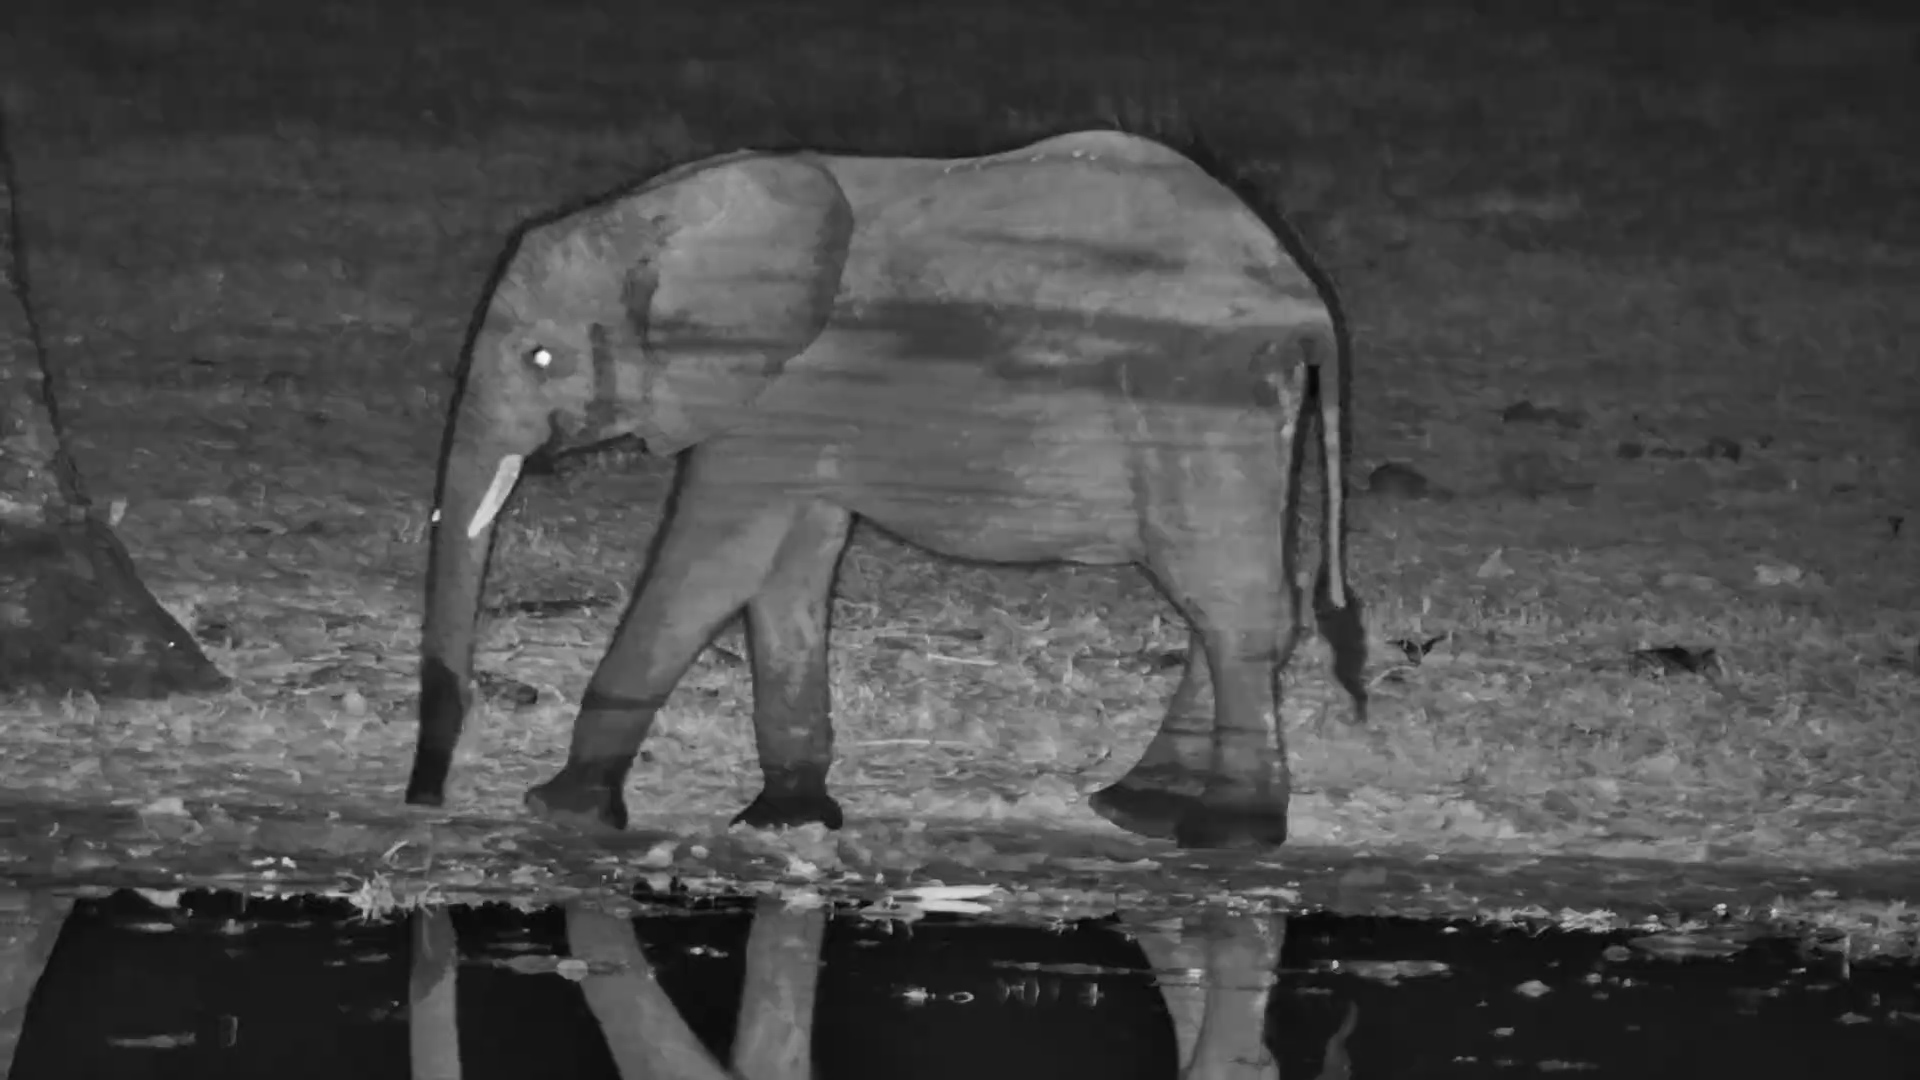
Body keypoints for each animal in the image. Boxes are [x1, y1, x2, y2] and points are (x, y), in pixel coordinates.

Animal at [404, 129, 1367, 850]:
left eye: (539, 357)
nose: (425, 800)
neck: (655, 214)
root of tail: (1305, 300)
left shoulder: (781, 390)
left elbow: (713, 560)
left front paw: (562, 809)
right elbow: (790, 568)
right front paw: (786, 819)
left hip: (1197, 397)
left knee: (1227, 599)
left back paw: (1230, 832)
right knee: (1238, 595)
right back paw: (1139, 807)